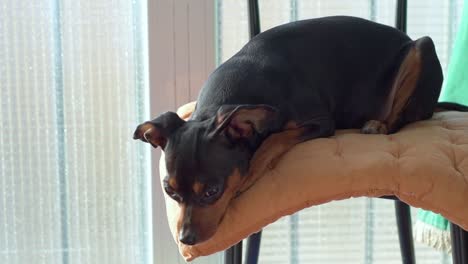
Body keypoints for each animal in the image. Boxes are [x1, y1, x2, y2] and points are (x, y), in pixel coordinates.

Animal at [133, 16, 442, 245]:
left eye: (212, 192)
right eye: (170, 191)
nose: (186, 239)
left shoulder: (320, 122)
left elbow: (273, 140)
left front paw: (251, 171)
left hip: (421, 50)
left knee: (403, 117)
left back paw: (378, 124)